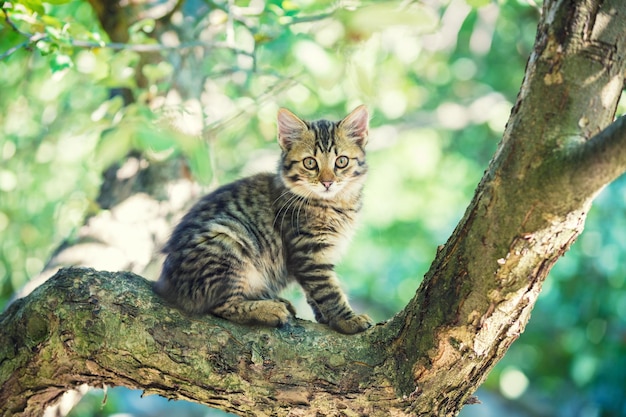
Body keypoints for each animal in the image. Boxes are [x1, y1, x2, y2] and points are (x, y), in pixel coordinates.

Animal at [154, 105, 372, 334]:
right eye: (310, 163)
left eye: (341, 161)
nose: (327, 182)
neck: (335, 204)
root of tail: (165, 282)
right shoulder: (309, 253)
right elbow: (328, 291)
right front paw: (347, 319)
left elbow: (315, 293)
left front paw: (325, 316)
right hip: (228, 239)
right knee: (223, 305)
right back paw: (269, 310)